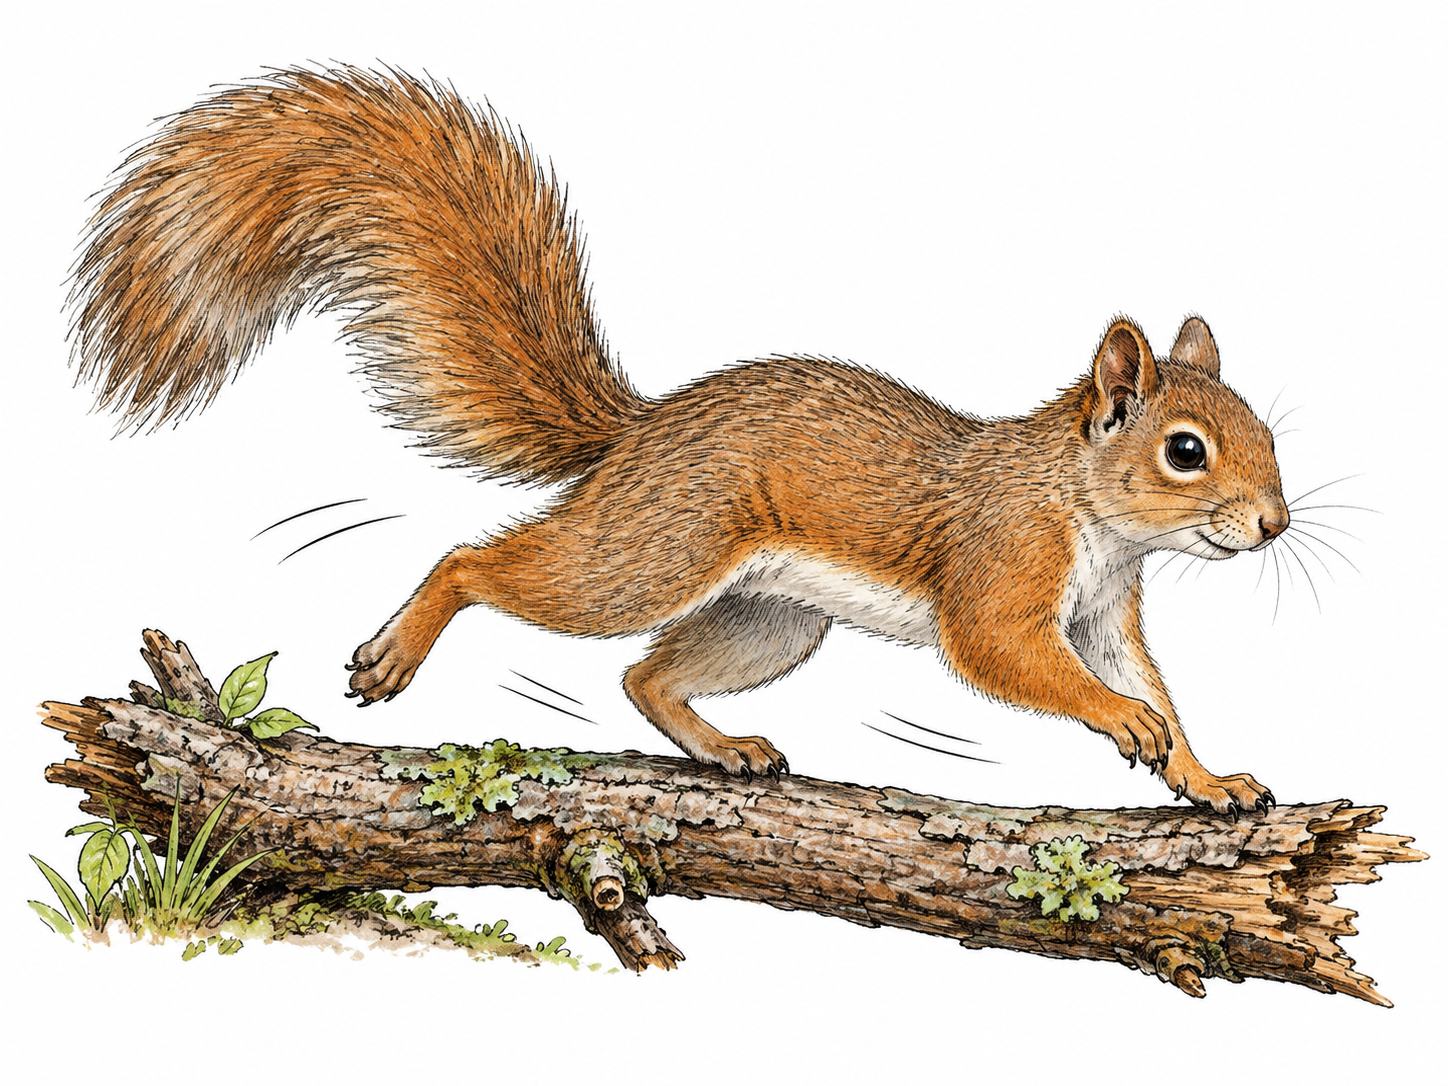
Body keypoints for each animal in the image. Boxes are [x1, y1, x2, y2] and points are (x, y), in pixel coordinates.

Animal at [70, 67, 1290, 814]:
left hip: (771, 620)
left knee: (645, 674)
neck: (1090, 513)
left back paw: (722, 747)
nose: (1275, 525)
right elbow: (1004, 655)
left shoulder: (1103, 610)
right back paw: (397, 650)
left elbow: (1150, 681)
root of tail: (642, 432)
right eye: (1186, 451)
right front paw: (1120, 722)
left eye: (1269, 437)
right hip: (647, 554)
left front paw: (1205, 775)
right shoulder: (1002, 564)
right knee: (486, 569)